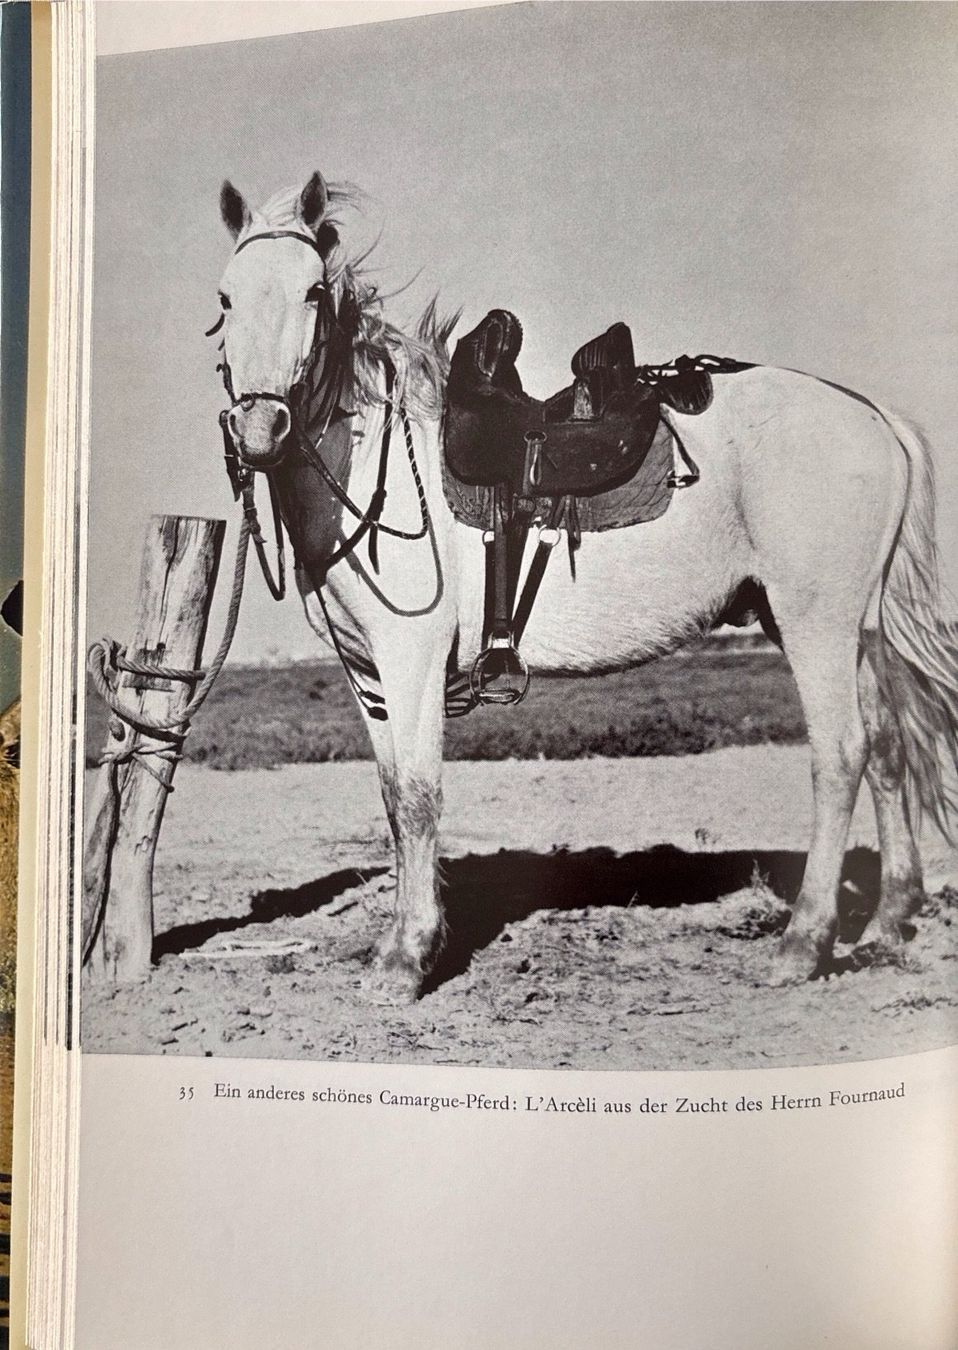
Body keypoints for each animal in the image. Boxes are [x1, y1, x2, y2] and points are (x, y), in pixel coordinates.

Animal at [211, 170, 958, 1004]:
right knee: (889, 746)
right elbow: (392, 797)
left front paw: (407, 957)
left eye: (312, 291)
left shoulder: (412, 662)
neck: (378, 464)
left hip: (814, 625)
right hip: (852, 629)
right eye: (225, 299)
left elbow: (418, 796)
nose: (259, 431)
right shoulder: (368, 674)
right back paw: (889, 922)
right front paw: (395, 948)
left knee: (842, 755)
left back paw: (802, 944)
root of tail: (871, 414)